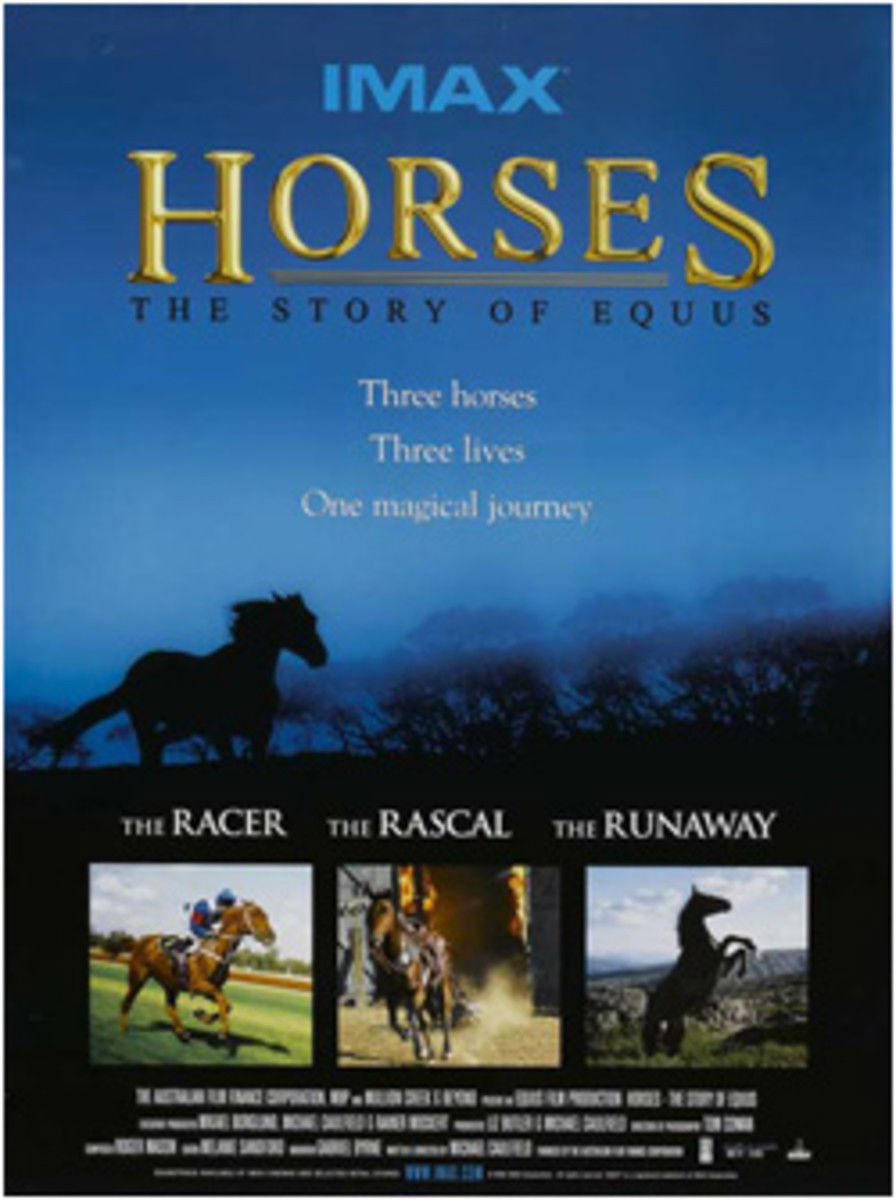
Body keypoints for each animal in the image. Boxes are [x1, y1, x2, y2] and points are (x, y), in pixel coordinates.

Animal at [34, 591, 326, 766]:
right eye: (300, 620)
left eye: (312, 618)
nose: (321, 656)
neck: (245, 672)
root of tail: (132, 674)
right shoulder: (220, 733)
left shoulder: (260, 731)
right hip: (145, 721)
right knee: (149, 752)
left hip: (175, 727)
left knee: (155, 748)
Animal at [119, 900, 275, 1043]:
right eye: (255, 914)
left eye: (265, 915)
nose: (271, 935)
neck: (216, 950)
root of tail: (140, 941)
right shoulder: (199, 985)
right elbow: (222, 1000)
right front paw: (223, 1031)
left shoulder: (212, 988)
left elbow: (227, 1005)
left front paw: (204, 1016)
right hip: (138, 977)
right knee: (127, 1002)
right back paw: (124, 1030)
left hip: (171, 984)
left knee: (170, 1007)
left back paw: (182, 1031)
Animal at [367, 894, 455, 1062]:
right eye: (370, 912)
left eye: (386, 910)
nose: (374, 941)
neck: (401, 958)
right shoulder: (391, 995)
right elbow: (394, 1021)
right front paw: (420, 1048)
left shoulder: (417, 992)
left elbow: (411, 1019)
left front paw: (420, 1050)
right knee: (424, 1020)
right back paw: (430, 1050)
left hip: (443, 984)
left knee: (445, 1015)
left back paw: (447, 1051)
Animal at [642, 886, 756, 1057]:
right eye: (707, 898)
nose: (728, 903)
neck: (697, 947)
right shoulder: (716, 960)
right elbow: (729, 938)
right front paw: (746, 953)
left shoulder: (721, 960)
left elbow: (737, 949)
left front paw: (742, 963)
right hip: (656, 1023)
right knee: (653, 1043)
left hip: (676, 1020)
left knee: (670, 1041)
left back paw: (673, 1055)